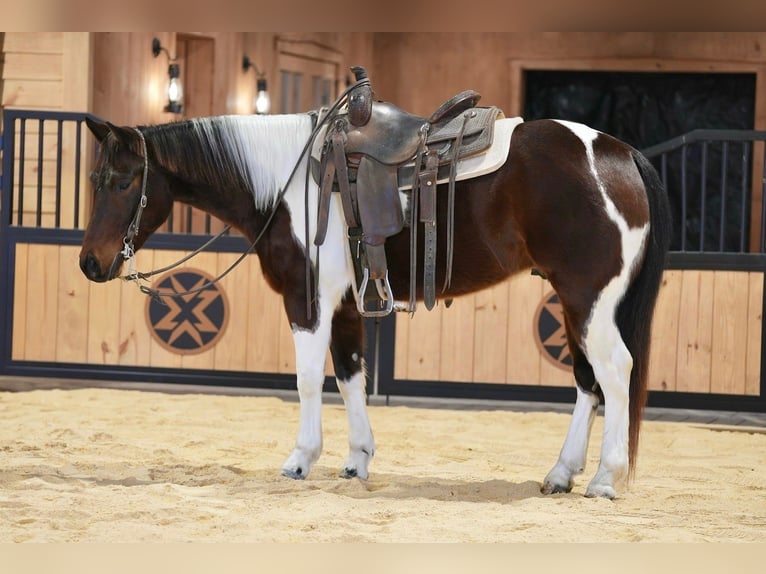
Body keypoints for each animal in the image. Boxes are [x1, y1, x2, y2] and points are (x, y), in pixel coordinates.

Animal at [79, 106, 671, 499]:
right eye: (95, 179)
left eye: (123, 180)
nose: (89, 263)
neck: (288, 183)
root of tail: (622, 154)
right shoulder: (343, 304)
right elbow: (350, 376)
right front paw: (357, 459)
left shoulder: (308, 299)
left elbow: (308, 380)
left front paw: (301, 459)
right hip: (574, 304)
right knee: (588, 382)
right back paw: (561, 473)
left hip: (590, 301)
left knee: (615, 373)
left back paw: (604, 478)